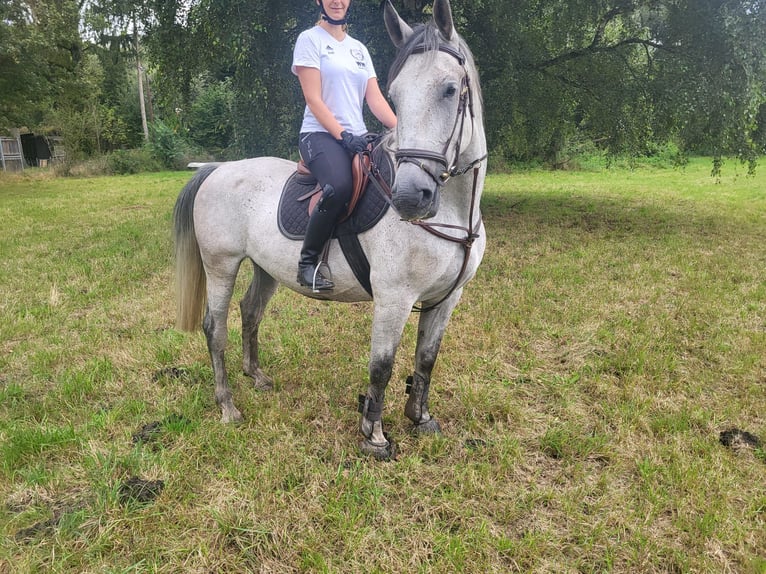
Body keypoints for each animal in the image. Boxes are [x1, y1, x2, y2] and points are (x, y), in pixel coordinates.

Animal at [172, 0, 486, 462]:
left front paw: (420, 418)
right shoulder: (394, 297)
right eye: (396, 95)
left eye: (449, 89)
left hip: (265, 267)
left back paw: (257, 377)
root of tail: (216, 169)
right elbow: (381, 366)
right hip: (221, 265)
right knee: (215, 327)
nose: (410, 197)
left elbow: (426, 358)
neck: (451, 211)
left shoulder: (447, 297)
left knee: (251, 312)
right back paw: (227, 405)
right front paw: (374, 437)